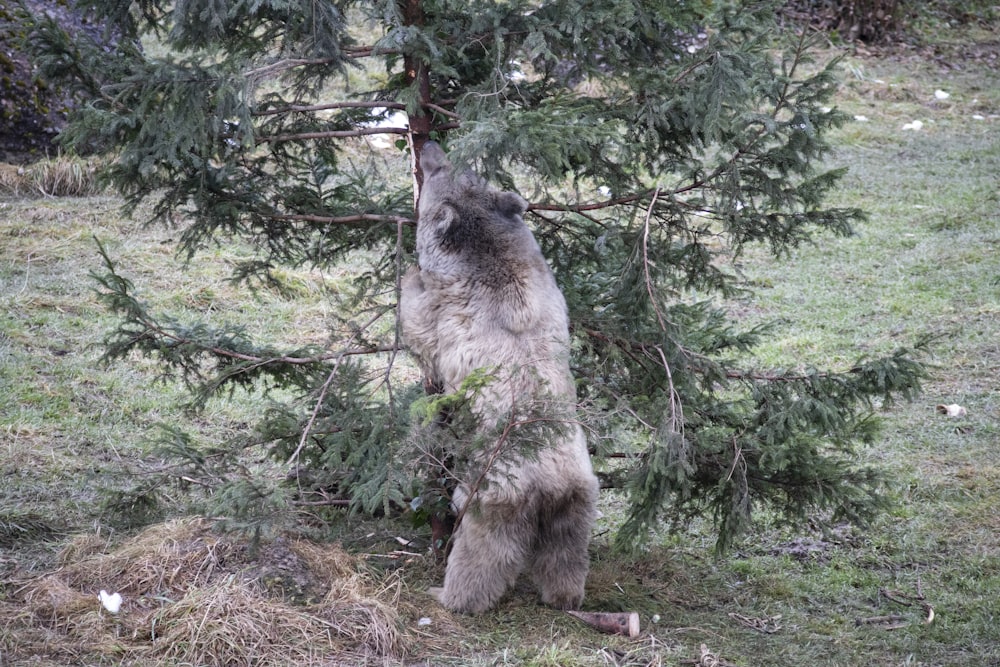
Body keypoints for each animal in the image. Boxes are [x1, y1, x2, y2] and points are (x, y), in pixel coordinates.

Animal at [400, 141, 600, 616]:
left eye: (438, 172)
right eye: (457, 164)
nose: (429, 145)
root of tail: (549, 487)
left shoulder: (449, 309)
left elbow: (421, 326)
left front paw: (408, 275)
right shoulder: (544, 279)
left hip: (489, 499)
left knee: (481, 554)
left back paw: (450, 595)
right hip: (578, 500)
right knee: (566, 553)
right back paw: (565, 595)